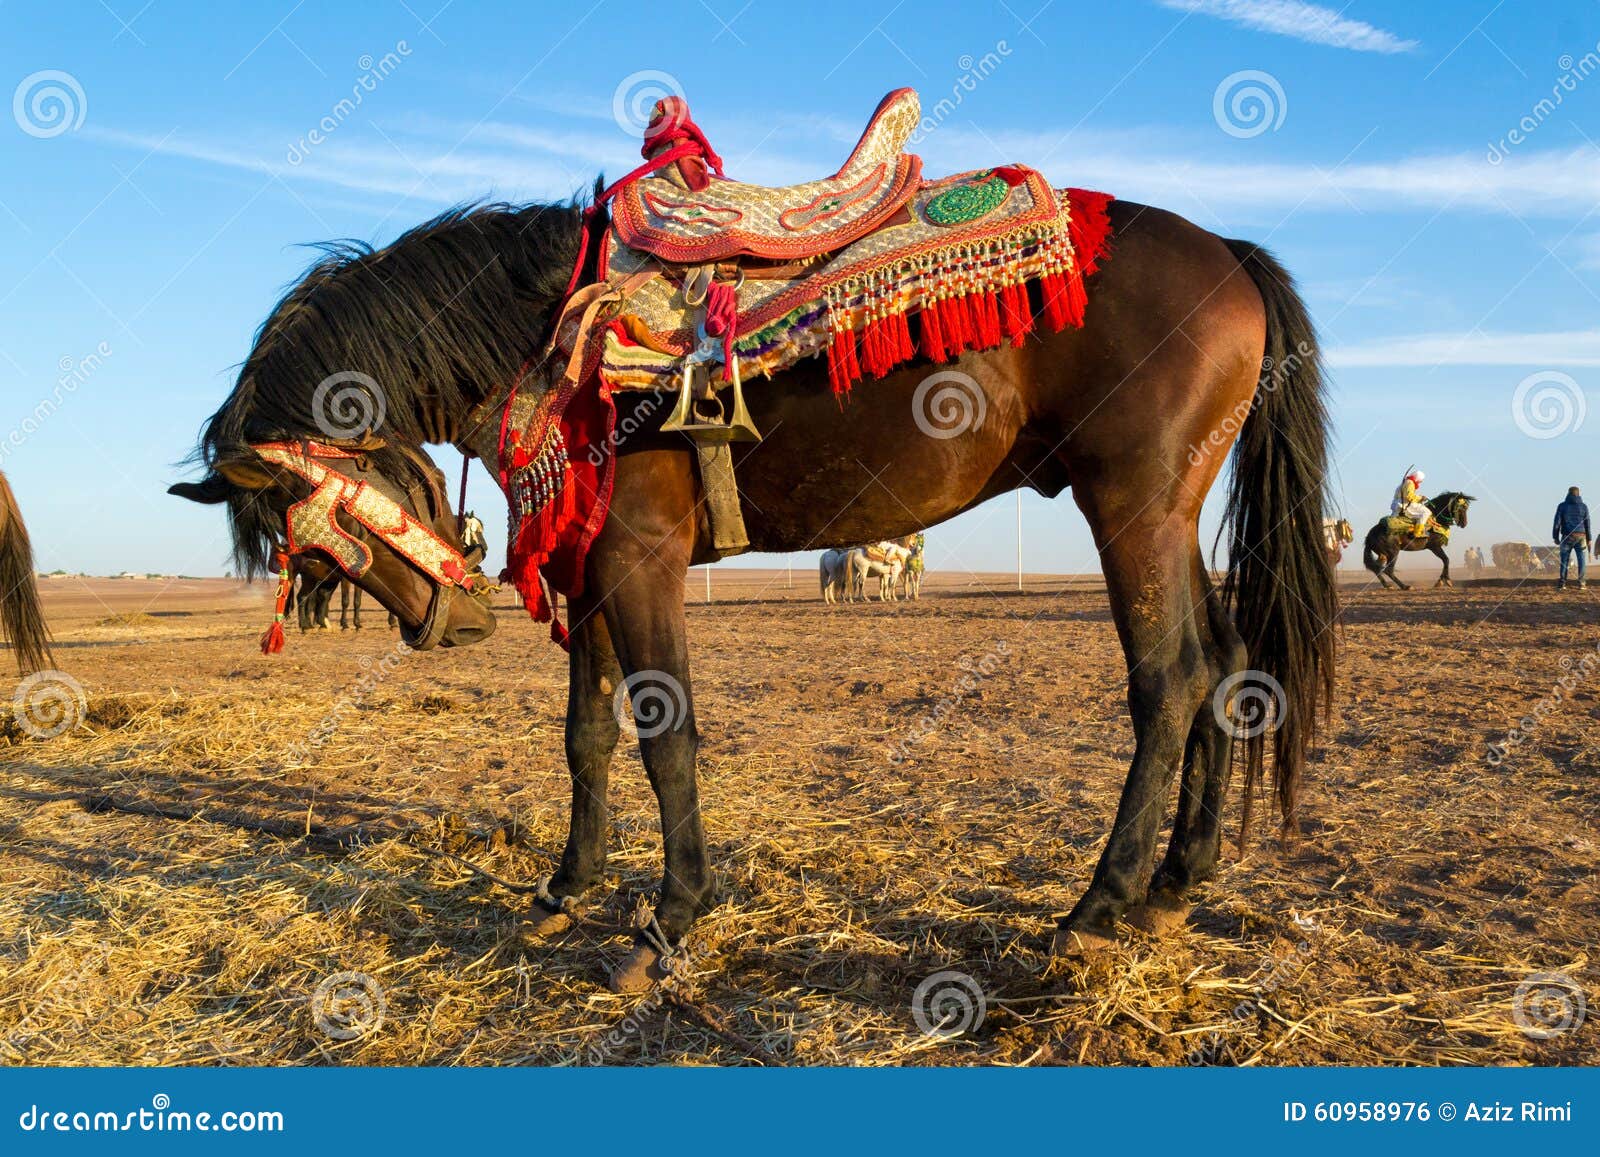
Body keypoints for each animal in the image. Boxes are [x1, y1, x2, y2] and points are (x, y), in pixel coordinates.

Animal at [172, 194, 1337, 992]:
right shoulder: (594, 569)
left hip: (1131, 506)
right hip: (1168, 513)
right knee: (1227, 666)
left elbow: (665, 734)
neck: (562, 340)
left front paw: (669, 920)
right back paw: (1174, 887)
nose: (443, 626)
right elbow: (585, 736)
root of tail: (1229, 255)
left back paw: (1097, 907)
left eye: (326, 537)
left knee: (1170, 679)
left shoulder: (639, 560)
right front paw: (564, 889)